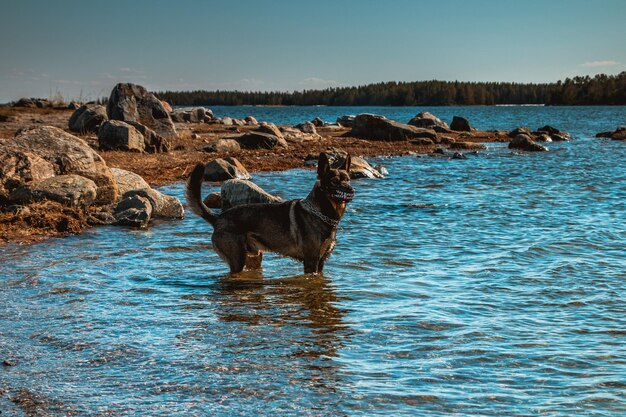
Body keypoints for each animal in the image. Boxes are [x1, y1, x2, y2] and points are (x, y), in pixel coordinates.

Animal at [184, 153, 352, 272]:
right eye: (334, 181)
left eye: (348, 179)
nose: (350, 189)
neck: (323, 213)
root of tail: (218, 218)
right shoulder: (311, 261)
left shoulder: (321, 261)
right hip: (238, 259)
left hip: (254, 258)